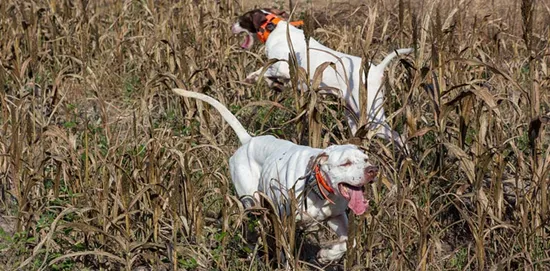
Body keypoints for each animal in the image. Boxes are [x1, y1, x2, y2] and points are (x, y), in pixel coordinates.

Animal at [175, 89, 382, 264]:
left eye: (365, 159)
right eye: (345, 163)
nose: (372, 170)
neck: (318, 187)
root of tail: (249, 141)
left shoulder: (337, 217)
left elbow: (349, 243)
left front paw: (326, 256)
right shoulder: (285, 222)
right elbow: (285, 249)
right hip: (254, 205)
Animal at [232, 7, 414, 149]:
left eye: (241, 19)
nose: (232, 27)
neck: (273, 28)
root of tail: (376, 69)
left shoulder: (284, 66)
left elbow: (265, 69)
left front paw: (253, 77)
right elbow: (270, 76)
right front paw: (271, 83)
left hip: (373, 115)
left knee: (399, 137)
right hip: (354, 116)